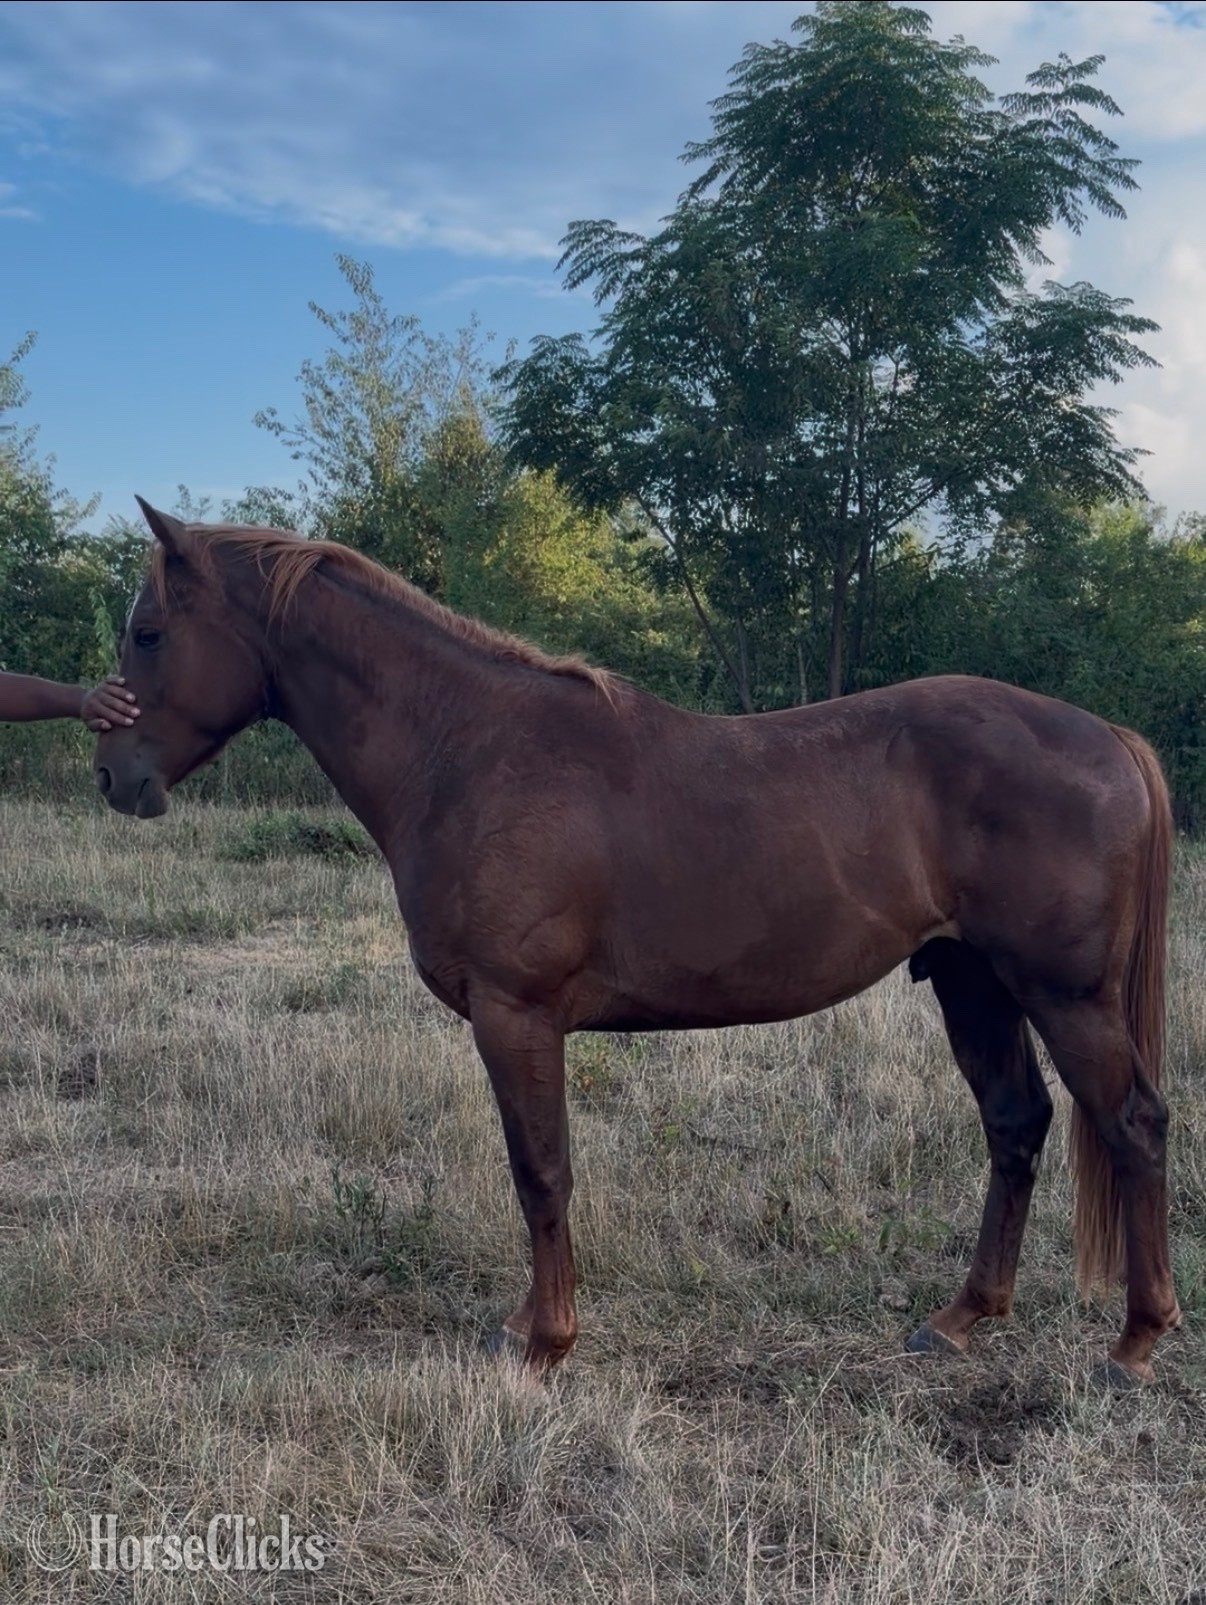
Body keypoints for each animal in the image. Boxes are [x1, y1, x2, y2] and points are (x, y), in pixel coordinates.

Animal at [94, 500, 1181, 1387]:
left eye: (150, 632)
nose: (113, 775)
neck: (470, 751)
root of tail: (1110, 738)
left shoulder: (517, 1016)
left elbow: (541, 1172)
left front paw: (545, 1343)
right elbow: (536, 1172)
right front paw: (528, 1327)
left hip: (1064, 996)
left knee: (1133, 1125)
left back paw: (1134, 1341)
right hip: (974, 982)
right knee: (1016, 1122)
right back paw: (961, 1319)